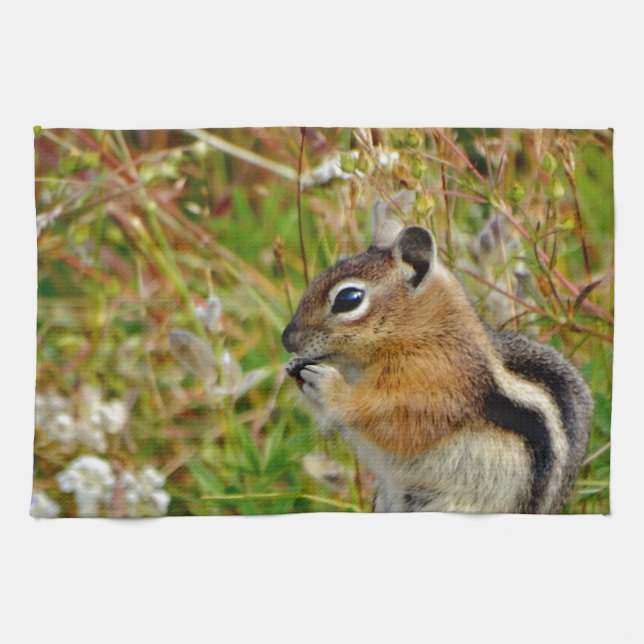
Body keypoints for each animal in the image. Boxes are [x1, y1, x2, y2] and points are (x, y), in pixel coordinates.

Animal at [282, 210, 593, 514]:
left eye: (349, 298)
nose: (287, 340)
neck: (425, 333)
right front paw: (294, 367)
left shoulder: (434, 382)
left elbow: (391, 421)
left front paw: (328, 385)